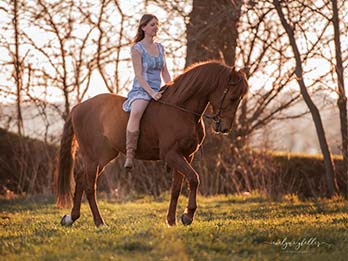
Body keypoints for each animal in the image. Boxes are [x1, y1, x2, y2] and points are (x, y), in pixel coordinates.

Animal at [56, 60, 247, 225]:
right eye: (232, 97)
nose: (224, 128)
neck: (182, 110)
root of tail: (78, 107)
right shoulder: (172, 155)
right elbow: (194, 179)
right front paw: (188, 216)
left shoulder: (186, 156)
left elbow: (176, 188)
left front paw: (172, 221)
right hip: (94, 156)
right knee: (90, 185)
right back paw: (99, 223)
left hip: (104, 156)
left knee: (81, 178)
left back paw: (71, 218)